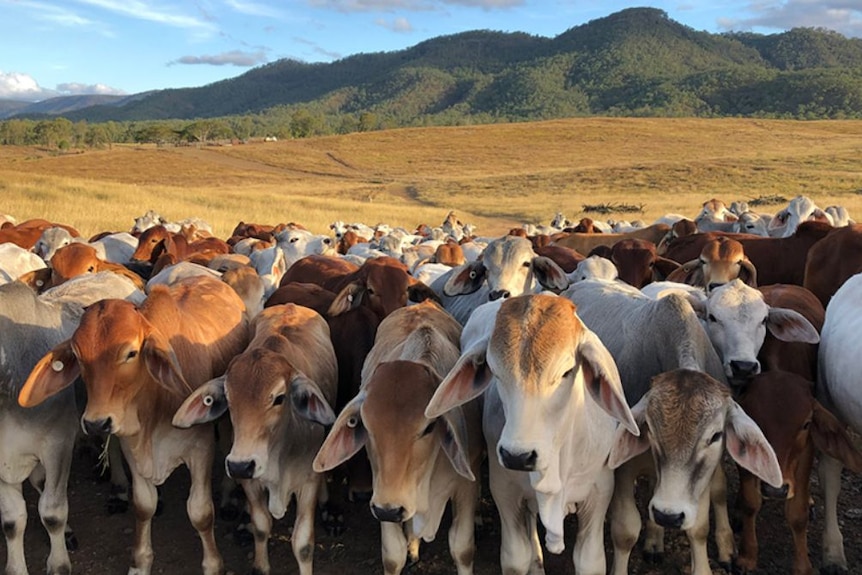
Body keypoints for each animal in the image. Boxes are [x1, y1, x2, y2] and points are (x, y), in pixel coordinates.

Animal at [19, 274, 250, 575]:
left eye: (130, 353)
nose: (96, 423)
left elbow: (200, 512)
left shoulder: (200, 449)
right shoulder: (133, 449)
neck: (155, 404)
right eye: (78, 355)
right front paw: (140, 563)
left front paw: (213, 565)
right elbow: (142, 505)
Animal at [175, 304, 338, 572]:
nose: (240, 465)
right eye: (228, 399)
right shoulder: (250, 483)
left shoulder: (308, 483)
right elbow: (262, 526)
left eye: (280, 398)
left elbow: (303, 544)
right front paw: (260, 565)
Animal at [612, 368, 788, 575]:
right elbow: (625, 532)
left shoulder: (703, 479)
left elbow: (699, 528)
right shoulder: (624, 471)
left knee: (719, 491)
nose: (668, 516)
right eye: (650, 429)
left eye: (716, 436)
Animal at [736, 372, 862, 575]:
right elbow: (750, 502)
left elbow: (797, 513)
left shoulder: (806, 450)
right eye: (754, 420)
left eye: (806, 424)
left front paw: (803, 567)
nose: (775, 489)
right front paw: (747, 558)